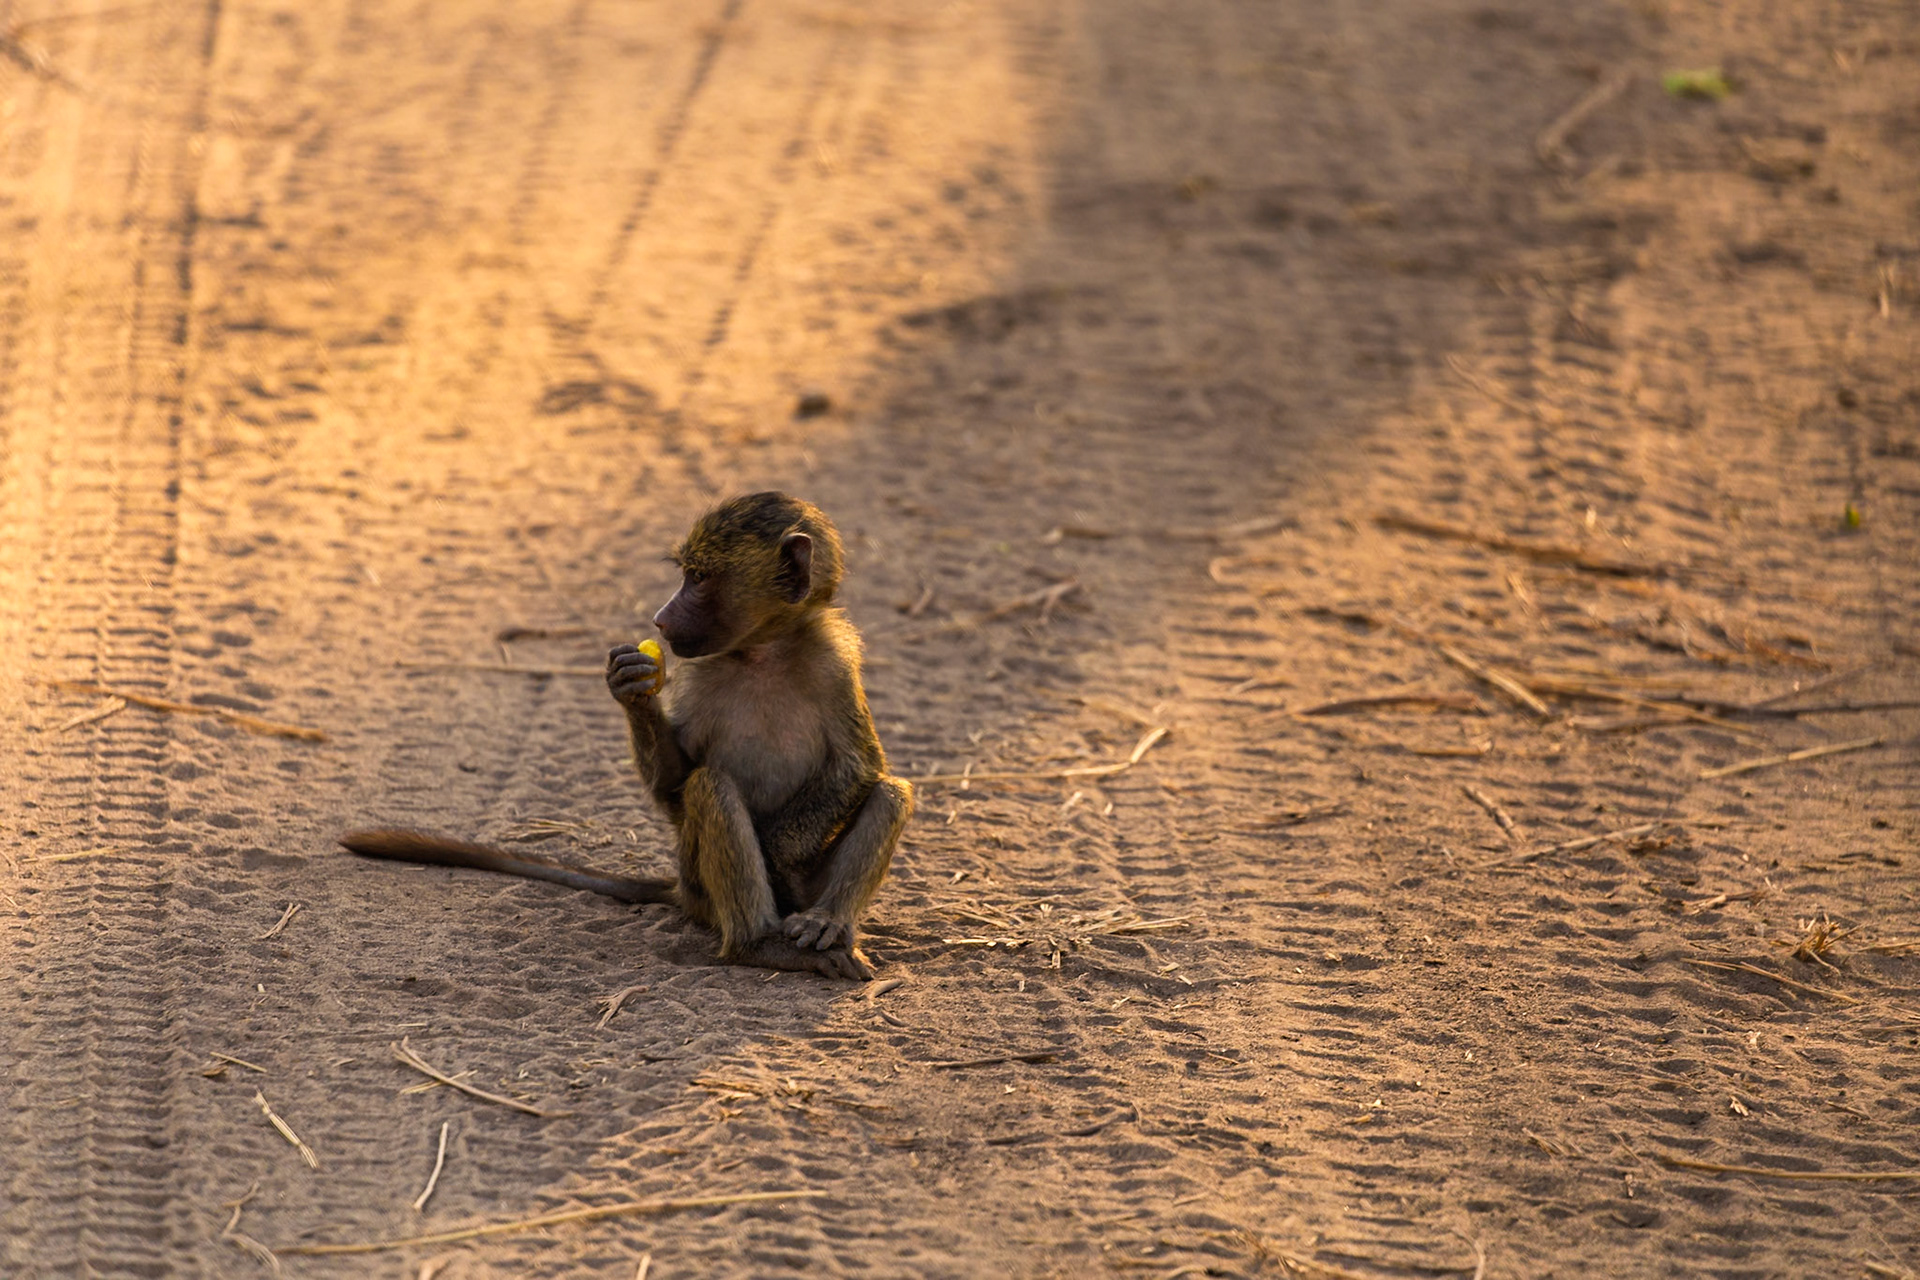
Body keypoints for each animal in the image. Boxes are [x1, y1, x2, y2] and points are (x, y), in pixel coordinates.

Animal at [342, 492, 913, 981]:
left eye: (699, 577)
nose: (661, 618)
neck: (763, 651)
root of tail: (685, 891)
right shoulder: (699, 673)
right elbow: (678, 784)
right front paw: (632, 691)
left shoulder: (834, 663)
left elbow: (861, 765)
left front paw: (778, 853)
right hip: (701, 884)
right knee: (711, 787)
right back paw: (759, 944)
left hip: (792, 886)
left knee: (890, 792)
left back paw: (824, 922)